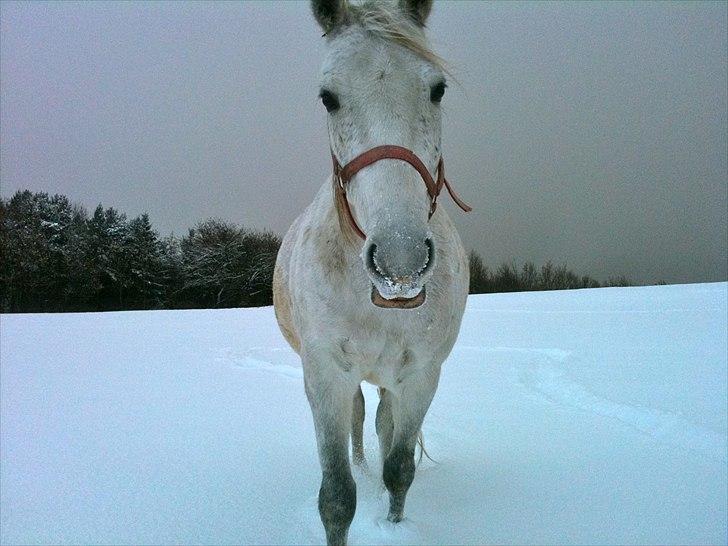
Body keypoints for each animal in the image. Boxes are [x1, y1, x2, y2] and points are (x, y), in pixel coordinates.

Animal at [274, 2, 472, 540]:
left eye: (437, 88)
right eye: (328, 98)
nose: (400, 261)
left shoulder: (422, 375)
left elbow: (400, 466)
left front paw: (394, 523)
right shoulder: (325, 375)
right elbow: (337, 497)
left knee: (383, 422)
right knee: (360, 421)